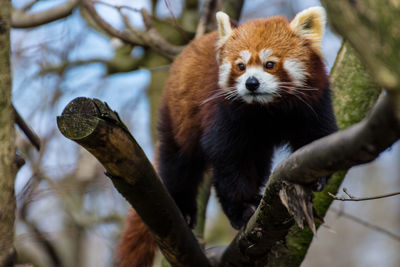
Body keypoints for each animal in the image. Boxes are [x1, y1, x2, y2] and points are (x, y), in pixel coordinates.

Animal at [116, 6, 338, 267]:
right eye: (240, 66)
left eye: (269, 64)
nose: (251, 83)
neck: (268, 110)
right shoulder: (225, 115)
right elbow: (230, 161)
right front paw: (242, 210)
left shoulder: (314, 104)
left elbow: (315, 137)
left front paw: (316, 179)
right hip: (180, 113)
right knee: (179, 161)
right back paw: (182, 207)